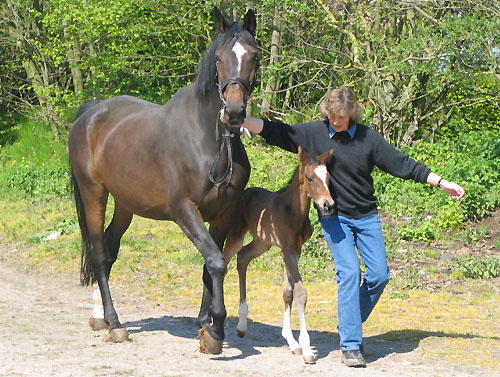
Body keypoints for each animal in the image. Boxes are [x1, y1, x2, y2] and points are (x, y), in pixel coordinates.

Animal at [68, 6, 258, 352]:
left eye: (254, 56)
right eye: (219, 58)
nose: (236, 111)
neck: (209, 140)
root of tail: (91, 113)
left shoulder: (223, 214)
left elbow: (211, 265)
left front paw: (205, 324)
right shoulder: (184, 210)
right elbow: (216, 262)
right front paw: (216, 327)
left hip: (125, 204)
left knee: (111, 248)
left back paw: (100, 315)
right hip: (93, 194)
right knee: (99, 254)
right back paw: (115, 323)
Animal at [224, 145, 334, 362]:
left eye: (328, 177)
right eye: (310, 178)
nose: (328, 205)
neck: (294, 212)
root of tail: (244, 193)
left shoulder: (294, 249)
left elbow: (287, 292)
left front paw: (292, 342)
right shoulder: (287, 249)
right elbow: (300, 292)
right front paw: (306, 348)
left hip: (262, 243)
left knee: (242, 258)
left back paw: (242, 324)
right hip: (236, 235)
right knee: (222, 262)